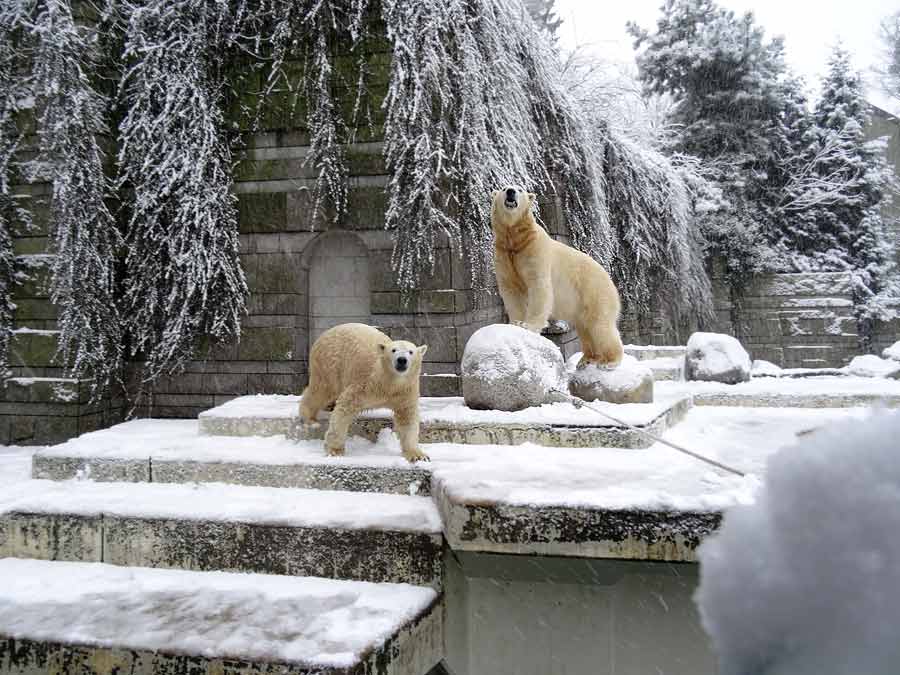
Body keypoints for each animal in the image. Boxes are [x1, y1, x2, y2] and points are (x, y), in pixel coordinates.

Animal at [300, 324, 430, 464]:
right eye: (393, 350)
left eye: (411, 352)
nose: (402, 360)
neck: (388, 383)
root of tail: (325, 333)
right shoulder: (365, 385)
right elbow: (344, 409)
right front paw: (335, 450)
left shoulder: (405, 392)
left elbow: (407, 419)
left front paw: (418, 455)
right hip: (329, 362)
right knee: (322, 389)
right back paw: (310, 419)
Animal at [488, 185, 624, 368]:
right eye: (503, 188)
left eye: (520, 189)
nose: (510, 191)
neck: (516, 239)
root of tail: (609, 279)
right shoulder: (503, 254)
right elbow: (511, 291)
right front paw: (516, 323)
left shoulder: (535, 251)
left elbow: (539, 287)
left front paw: (529, 325)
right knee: (585, 327)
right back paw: (586, 359)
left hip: (594, 291)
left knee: (600, 325)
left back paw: (609, 361)